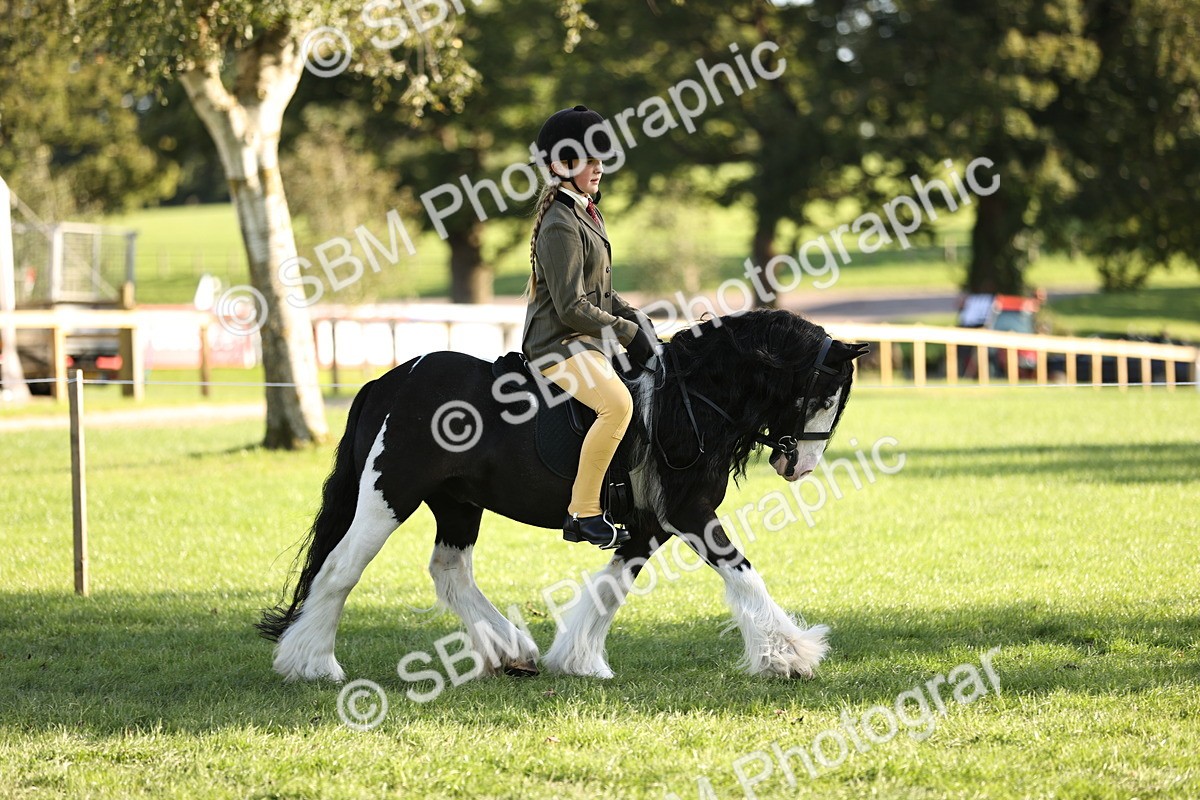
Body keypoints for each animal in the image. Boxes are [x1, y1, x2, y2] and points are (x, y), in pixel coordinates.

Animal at [258, 308, 868, 682]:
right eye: (823, 393)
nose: (800, 466)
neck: (690, 398)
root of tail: (389, 382)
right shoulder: (691, 512)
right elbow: (742, 572)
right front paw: (789, 655)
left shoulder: (650, 524)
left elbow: (611, 589)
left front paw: (578, 660)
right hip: (391, 493)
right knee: (341, 569)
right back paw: (312, 664)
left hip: (457, 502)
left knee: (450, 572)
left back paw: (511, 650)